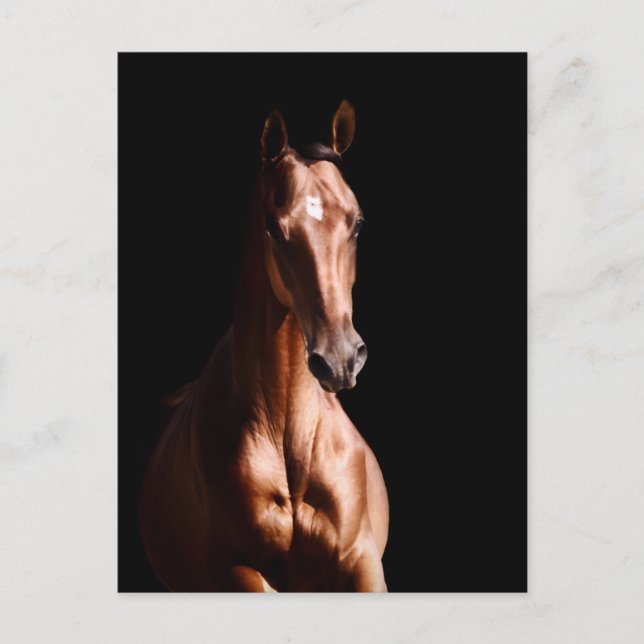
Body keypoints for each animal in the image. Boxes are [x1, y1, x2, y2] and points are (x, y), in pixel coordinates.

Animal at [139, 100, 388, 592]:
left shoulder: (362, 559)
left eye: (357, 222)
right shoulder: (239, 569)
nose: (340, 358)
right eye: (274, 227)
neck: (289, 434)